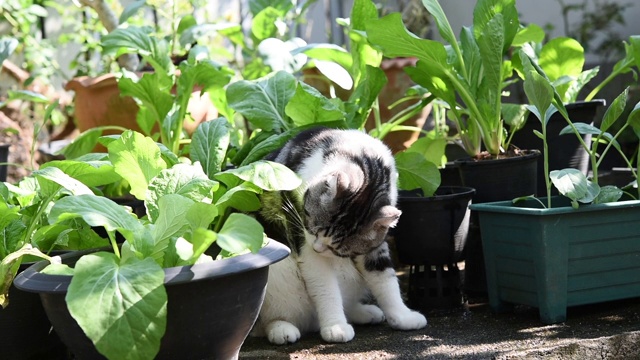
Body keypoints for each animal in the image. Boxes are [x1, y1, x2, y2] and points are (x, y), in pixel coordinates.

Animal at [252, 126, 428, 344]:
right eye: (311, 225)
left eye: (338, 249)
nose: (318, 247)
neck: (363, 156)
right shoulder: (303, 242)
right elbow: (326, 288)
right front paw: (335, 327)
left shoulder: (375, 245)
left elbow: (385, 278)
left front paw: (403, 316)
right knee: (265, 319)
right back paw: (281, 328)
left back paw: (364, 312)